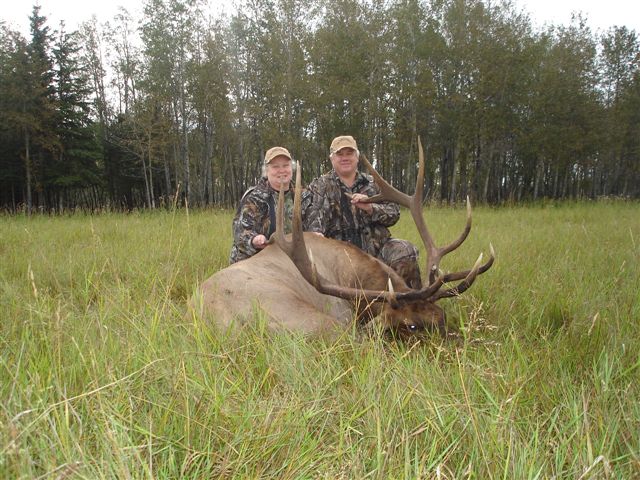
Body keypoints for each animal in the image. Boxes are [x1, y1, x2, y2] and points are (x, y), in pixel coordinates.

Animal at [188, 139, 494, 338]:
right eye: (411, 326)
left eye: (441, 318)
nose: (459, 344)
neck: (350, 275)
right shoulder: (342, 312)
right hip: (312, 319)